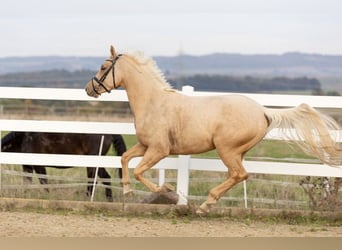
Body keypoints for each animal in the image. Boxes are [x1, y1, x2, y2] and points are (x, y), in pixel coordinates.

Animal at [84, 45, 340, 215]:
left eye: (104, 66)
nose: (89, 89)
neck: (154, 102)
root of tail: (262, 111)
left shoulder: (159, 149)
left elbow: (139, 170)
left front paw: (165, 190)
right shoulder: (145, 145)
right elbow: (125, 159)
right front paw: (128, 192)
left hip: (227, 149)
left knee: (239, 174)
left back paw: (205, 205)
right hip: (237, 152)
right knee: (236, 175)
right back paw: (207, 204)